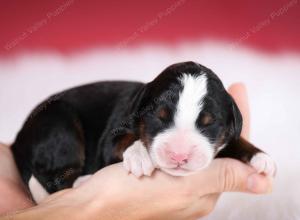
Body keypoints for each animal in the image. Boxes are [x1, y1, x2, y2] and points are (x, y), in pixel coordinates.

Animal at [11, 61, 276, 203]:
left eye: (208, 123)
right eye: (159, 118)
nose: (179, 156)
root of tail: (17, 140)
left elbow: (234, 141)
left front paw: (261, 157)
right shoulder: (111, 137)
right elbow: (125, 139)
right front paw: (140, 155)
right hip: (59, 124)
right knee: (58, 179)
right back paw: (85, 180)